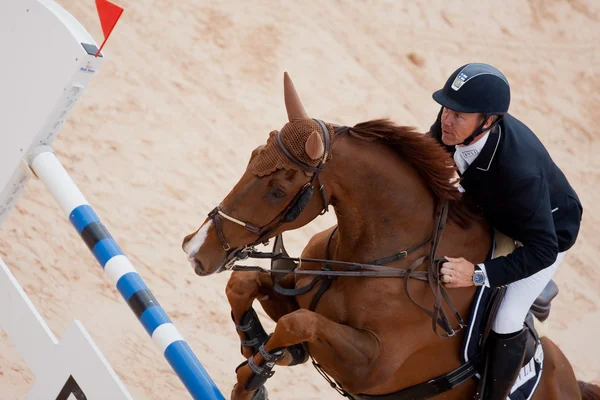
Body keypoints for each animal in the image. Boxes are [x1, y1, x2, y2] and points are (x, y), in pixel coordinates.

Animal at [183, 72, 600, 400]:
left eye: (277, 190)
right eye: (253, 155)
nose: (195, 250)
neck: (380, 260)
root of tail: (571, 384)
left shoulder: (372, 365)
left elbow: (297, 323)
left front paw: (257, 372)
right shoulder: (297, 293)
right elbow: (244, 284)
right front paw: (256, 343)